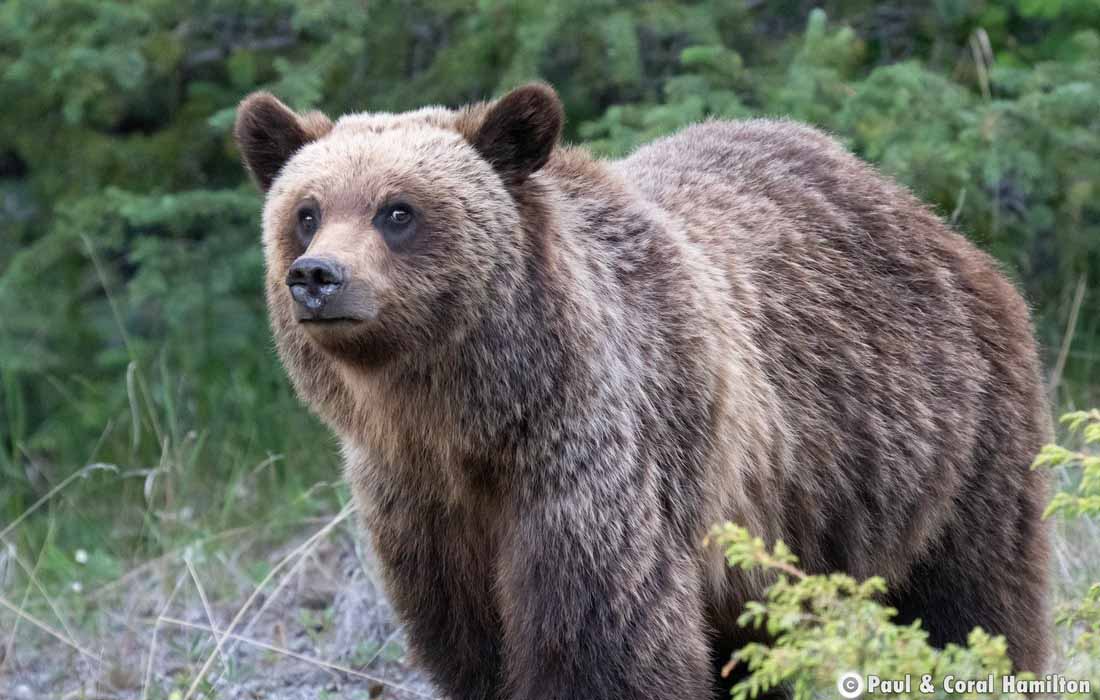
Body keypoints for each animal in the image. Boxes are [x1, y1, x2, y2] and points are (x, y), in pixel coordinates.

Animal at [232, 84, 1047, 695]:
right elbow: (472, 646)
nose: (317, 276)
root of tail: (926, 217)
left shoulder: (597, 461)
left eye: (397, 210)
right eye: (306, 212)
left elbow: (602, 640)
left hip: (952, 440)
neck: (466, 418)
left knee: (976, 604)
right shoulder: (422, 506)